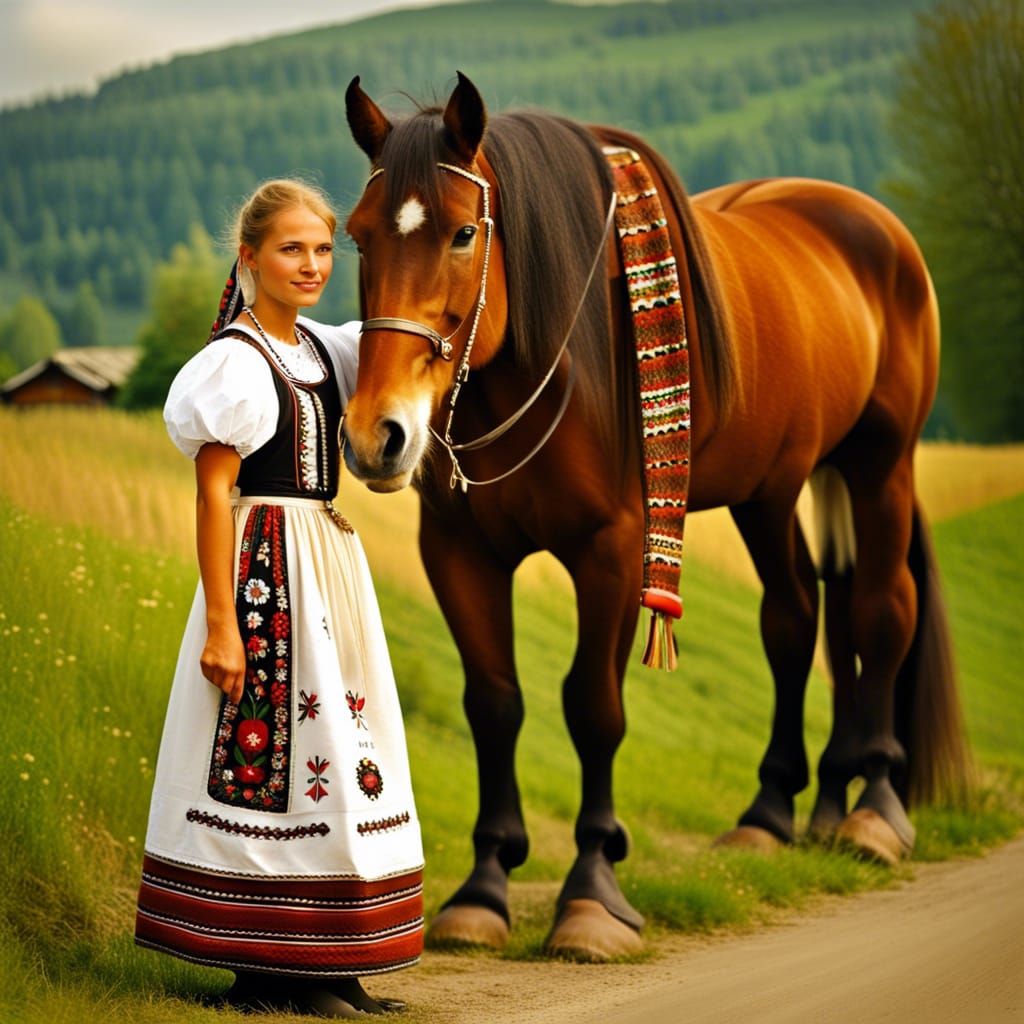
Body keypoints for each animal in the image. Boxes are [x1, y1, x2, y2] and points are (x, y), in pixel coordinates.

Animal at [341, 72, 970, 960]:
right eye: (359, 238)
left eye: (464, 232)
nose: (379, 434)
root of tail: (873, 226)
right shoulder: (459, 552)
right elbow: (494, 703)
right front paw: (485, 888)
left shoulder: (610, 549)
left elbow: (592, 706)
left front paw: (591, 892)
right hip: (773, 490)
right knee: (799, 617)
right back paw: (781, 812)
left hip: (879, 465)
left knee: (881, 612)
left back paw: (874, 809)